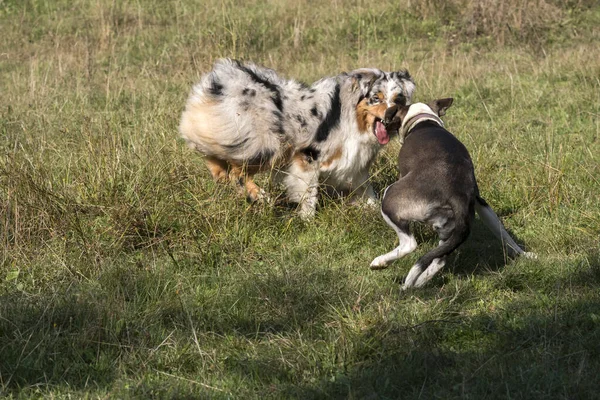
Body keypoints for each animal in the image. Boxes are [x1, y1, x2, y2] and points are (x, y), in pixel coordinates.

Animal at [179, 57, 412, 217]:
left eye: (397, 99)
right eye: (376, 98)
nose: (391, 114)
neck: (353, 119)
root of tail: (223, 80)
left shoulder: (356, 165)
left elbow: (367, 191)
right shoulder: (307, 157)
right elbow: (308, 193)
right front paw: (308, 220)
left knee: (217, 160)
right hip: (269, 144)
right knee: (236, 171)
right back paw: (260, 195)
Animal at [370, 98, 536, 290]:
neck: (423, 120)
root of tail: (457, 195)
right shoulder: (481, 203)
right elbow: (502, 233)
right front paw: (523, 254)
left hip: (390, 197)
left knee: (409, 244)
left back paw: (382, 263)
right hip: (450, 229)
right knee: (438, 260)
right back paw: (417, 283)